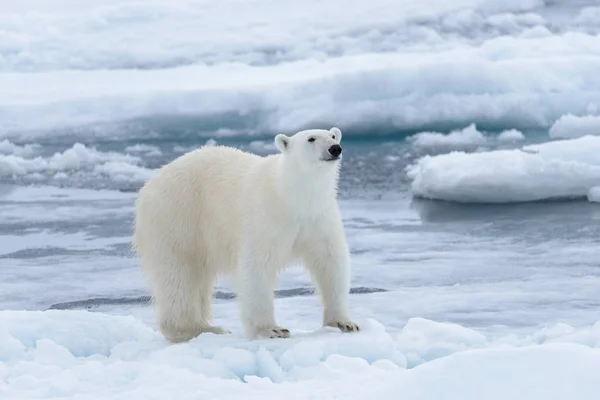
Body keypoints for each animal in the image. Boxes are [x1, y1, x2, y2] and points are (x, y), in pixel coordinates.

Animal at [134, 126, 358, 342]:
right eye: (311, 138)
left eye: (332, 136)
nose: (335, 148)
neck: (291, 195)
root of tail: (150, 183)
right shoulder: (264, 216)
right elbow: (257, 265)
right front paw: (271, 329)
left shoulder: (318, 216)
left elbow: (330, 260)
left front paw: (344, 323)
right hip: (177, 217)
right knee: (178, 274)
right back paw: (199, 328)